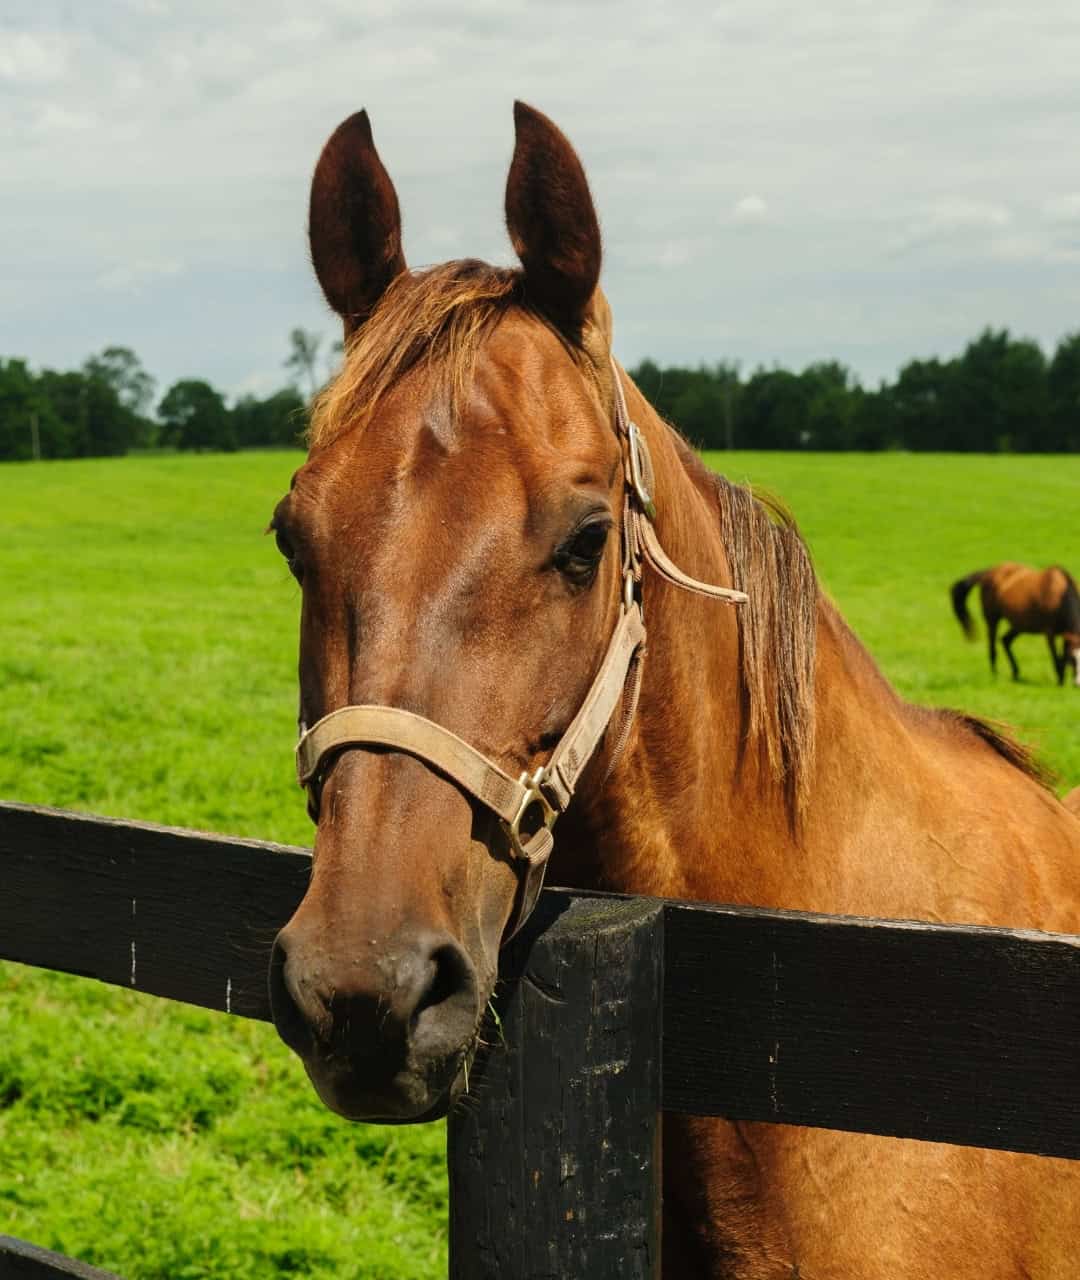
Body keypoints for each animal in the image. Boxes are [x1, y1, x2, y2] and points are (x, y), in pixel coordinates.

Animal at [952, 562, 1080, 687]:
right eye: (1072, 659)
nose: (1077, 683)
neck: (1060, 594)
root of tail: (989, 572)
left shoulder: (1065, 635)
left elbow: (1062, 657)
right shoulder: (1050, 633)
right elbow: (1056, 659)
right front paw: (1060, 682)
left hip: (1019, 625)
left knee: (1005, 640)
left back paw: (1015, 672)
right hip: (992, 619)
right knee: (993, 647)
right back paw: (995, 675)